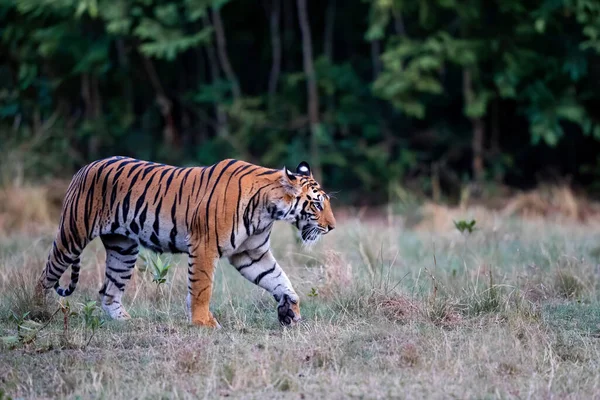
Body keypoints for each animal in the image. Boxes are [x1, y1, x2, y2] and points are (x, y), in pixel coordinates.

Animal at [36, 156, 338, 328]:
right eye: (317, 204)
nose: (332, 227)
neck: (268, 209)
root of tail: (85, 167)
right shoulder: (204, 246)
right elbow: (202, 287)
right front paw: (203, 322)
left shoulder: (251, 253)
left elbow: (278, 278)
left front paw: (290, 310)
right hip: (72, 235)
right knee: (46, 275)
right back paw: (38, 312)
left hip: (123, 248)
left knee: (108, 291)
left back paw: (126, 323)